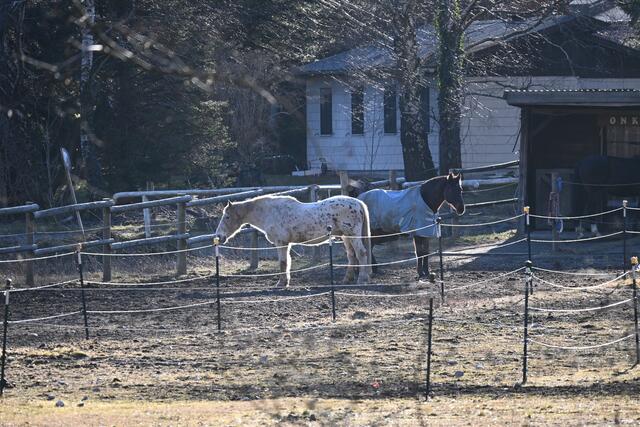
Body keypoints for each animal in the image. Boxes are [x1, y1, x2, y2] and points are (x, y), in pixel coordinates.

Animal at [215, 194, 372, 287]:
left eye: (227, 217)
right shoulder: (286, 244)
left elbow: (283, 263)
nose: (219, 236)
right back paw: (347, 279)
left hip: (352, 235)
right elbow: (287, 263)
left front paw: (281, 283)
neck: (270, 212)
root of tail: (358, 203)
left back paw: (362, 279)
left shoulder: (281, 243)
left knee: (361, 253)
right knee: (351, 256)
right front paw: (285, 282)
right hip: (346, 237)